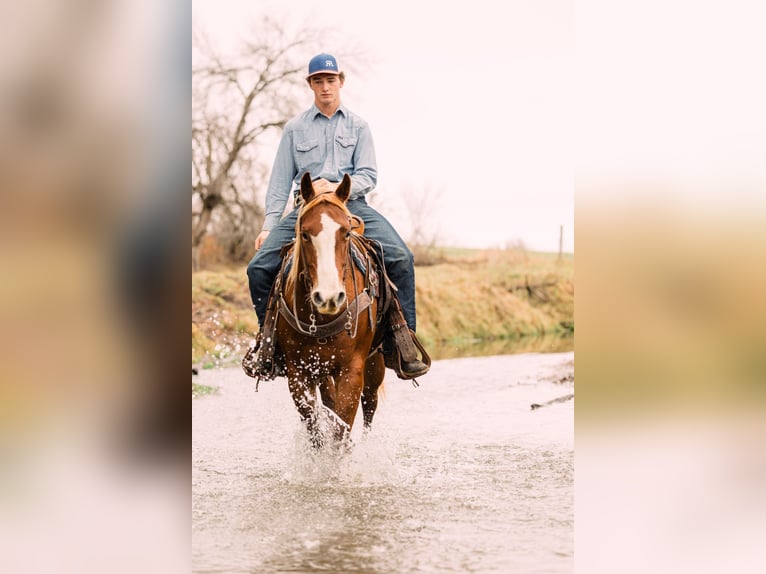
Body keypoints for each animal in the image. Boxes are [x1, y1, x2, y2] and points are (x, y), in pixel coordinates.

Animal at [276, 173, 390, 448]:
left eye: (346, 233)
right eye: (305, 235)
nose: (328, 297)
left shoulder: (352, 370)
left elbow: (341, 428)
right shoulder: (299, 373)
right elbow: (315, 428)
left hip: (375, 366)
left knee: (370, 406)